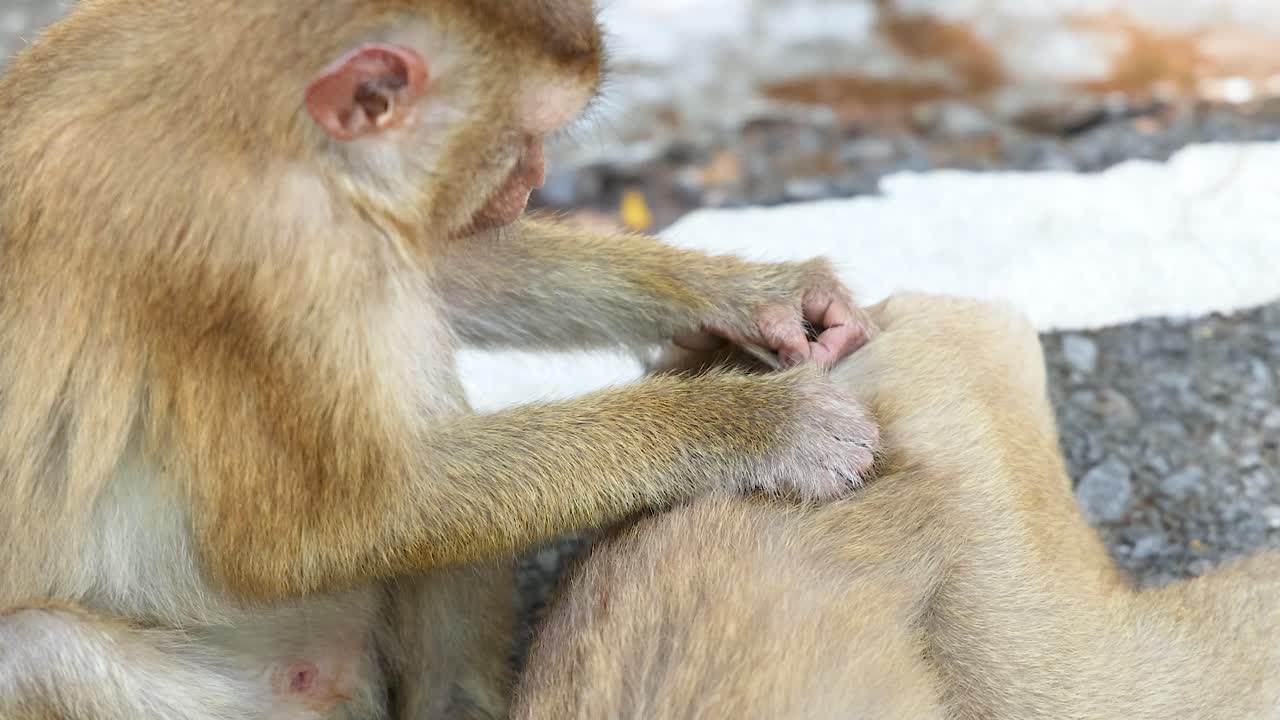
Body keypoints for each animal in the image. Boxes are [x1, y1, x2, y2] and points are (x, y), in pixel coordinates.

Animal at [0, 2, 883, 719]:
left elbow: (443, 260)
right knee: (35, 654)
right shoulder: (264, 259)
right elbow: (310, 532)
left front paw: (755, 295)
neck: (252, 110)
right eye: (520, 140)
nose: (534, 181)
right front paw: (763, 424)